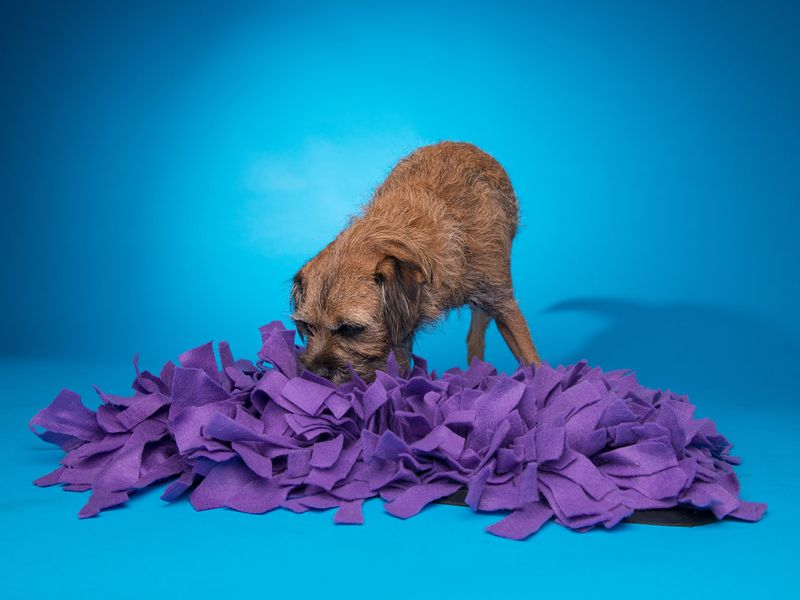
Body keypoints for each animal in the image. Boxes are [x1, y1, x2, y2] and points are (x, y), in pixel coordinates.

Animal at [290, 141, 540, 382]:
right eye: (307, 326)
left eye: (351, 329)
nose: (315, 373)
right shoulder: (399, 331)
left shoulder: (504, 303)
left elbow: (531, 359)